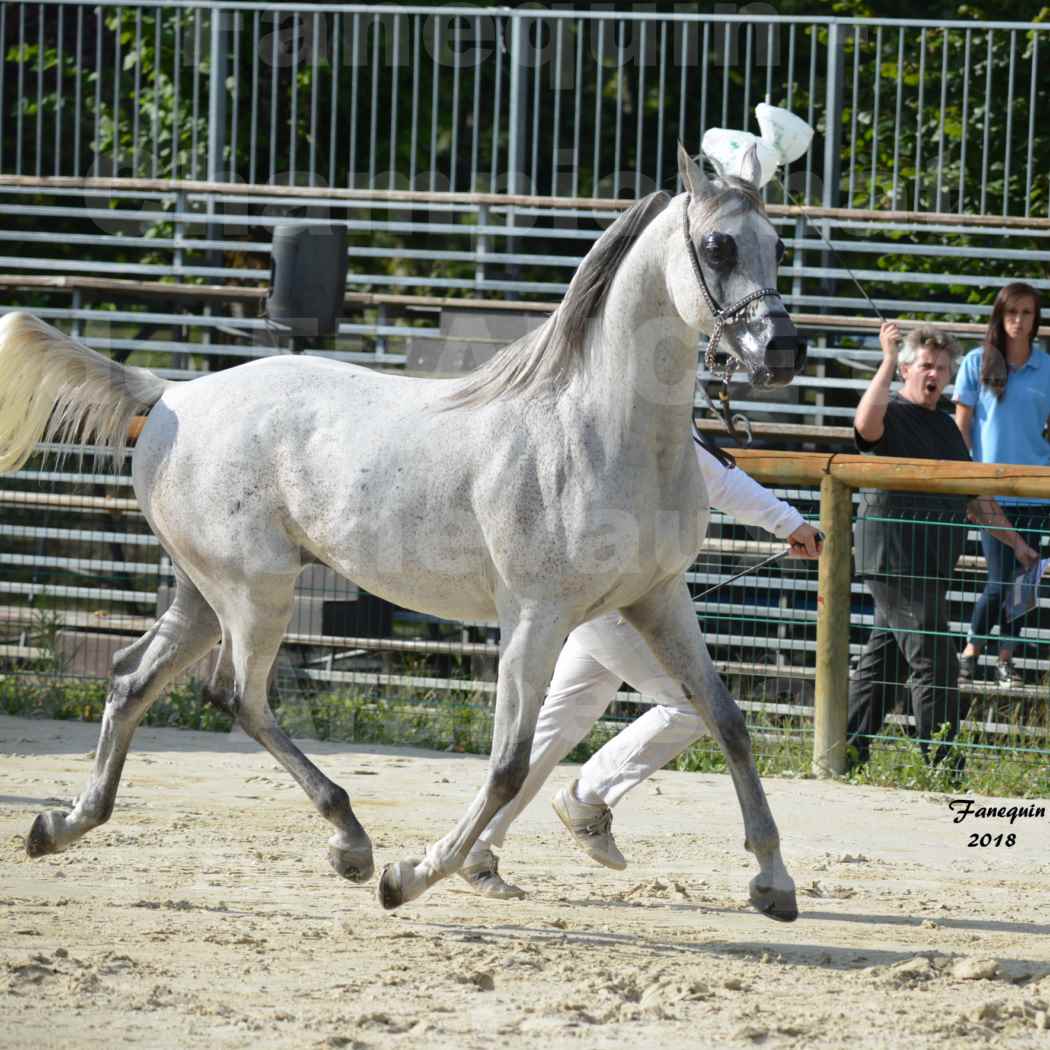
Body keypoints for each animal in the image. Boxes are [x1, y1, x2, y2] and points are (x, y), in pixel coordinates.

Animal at [0, 145, 802, 919]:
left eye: (779, 244)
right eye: (718, 245)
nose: (782, 352)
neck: (597, 431)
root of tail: (173, 396)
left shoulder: (659, 599)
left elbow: (726, 720)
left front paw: (774, 885)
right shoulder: (536, 618)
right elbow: (508, 764)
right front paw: (411, 875)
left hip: (206, 593)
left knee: (131, 678)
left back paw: (61, 825)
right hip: (255, 592)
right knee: (237, 696)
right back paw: (353, 845)